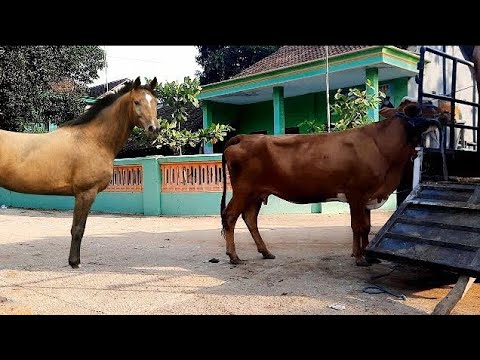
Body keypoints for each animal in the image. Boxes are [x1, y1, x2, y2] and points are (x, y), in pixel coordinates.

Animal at [0, 76, 160, 268]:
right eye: (136, 102)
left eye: (155, 102)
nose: (154, 129)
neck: (93, 139)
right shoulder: (85, 193)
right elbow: (78, 229)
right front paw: (74, 262)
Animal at [221, 100, 446, 266]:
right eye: (421, 107)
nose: (445, 112)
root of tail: (244, 137)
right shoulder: (356, 193)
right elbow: (358, 226)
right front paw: (360, 258)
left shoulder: (368, 196)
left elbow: (366, 227)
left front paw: (365, 254)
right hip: (243, 190)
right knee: (230, 216)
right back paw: (234, 256)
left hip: (256, 193)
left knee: (250, 218)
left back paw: (265, 252)